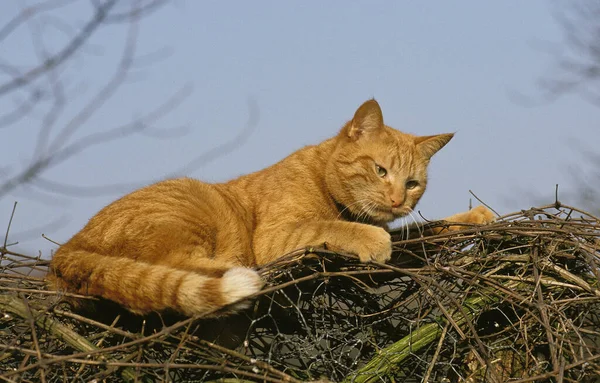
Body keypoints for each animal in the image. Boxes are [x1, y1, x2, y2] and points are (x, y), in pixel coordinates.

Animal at [49, 100, 494, 318]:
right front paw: (370, 238)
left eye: (413, 183)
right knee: (175, 268)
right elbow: (331, 228)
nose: (399, 200)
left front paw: (475, 218)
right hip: (192, 211)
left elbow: (424, 230)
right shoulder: (278, 236)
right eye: (380, 170)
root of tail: (66, 249)